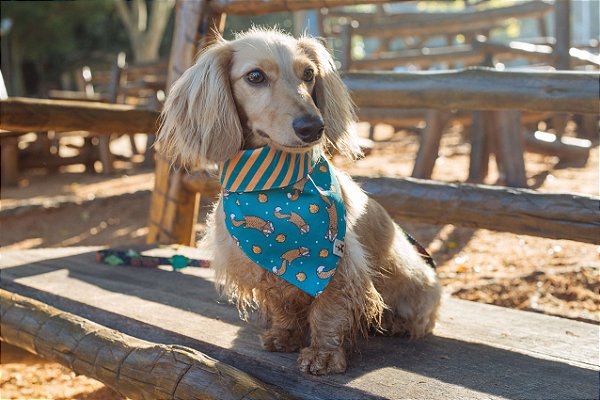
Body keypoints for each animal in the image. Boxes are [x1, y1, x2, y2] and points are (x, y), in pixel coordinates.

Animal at [158, 28, 440, 376]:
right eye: (255, 76)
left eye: (308, 74)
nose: (313, 128)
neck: (272, 185)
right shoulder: (265, 269)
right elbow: (281, 305)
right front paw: (284, 335)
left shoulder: (340, 268)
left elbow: (328, 311)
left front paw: (323, 354)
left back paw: (395, 322)